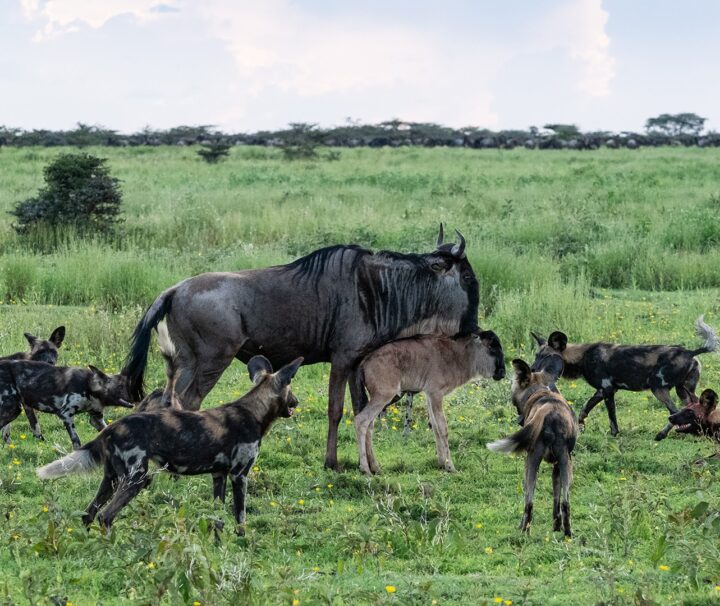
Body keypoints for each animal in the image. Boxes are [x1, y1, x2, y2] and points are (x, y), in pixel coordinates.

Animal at [0, 360, 132, 452]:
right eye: (121, 386)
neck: (89, 386)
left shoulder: (96, 419)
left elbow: (107, 429)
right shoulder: (65, 414)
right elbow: (76, 440)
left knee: (5, 435)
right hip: (13, 410)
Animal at [37, 356, 300, 532]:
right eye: (291, 390)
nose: (296, 402)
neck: (254, 411)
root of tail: (111, 427)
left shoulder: (219, 476)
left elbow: (217, 519)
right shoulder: (239, 476)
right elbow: (241, 519)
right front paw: (241, 544)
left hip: (112, 479)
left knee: (89, 514)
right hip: (138, 479)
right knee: (105, 516)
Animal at [356, 330, 506, 478]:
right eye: (491, 347)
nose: (503, 373)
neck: (459, 355)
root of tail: (364, 363)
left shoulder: (429, 395)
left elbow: (434, 426)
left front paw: (442, 463)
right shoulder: (436, 394)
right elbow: (443, 428)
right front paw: (450, 466)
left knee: (370, 425)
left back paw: (375, 467)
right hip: (383, 396)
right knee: (361, 420)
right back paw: (365, 469)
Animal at [486, 358, 576, 540]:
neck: (540, 393)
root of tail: (549, 410)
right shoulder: (557, 465)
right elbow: (556, 500)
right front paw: (557, 527)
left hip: (532, 460)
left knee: (529, 501)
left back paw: (524, 531)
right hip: (564, 462)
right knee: (565, 502)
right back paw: (568, 534)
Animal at [528, 316, 716, 440]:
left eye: (546, 357)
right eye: (537, 356)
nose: (531, 369)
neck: (582, 357)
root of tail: (689, 352)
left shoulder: (608, 390)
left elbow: (612, 417)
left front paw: (614, 435)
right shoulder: (602, 391)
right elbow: (584, 408)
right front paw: (580, 426)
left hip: (658, 389)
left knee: (674, 412)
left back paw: (661, 435)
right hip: (682, 391)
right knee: (691, 408)